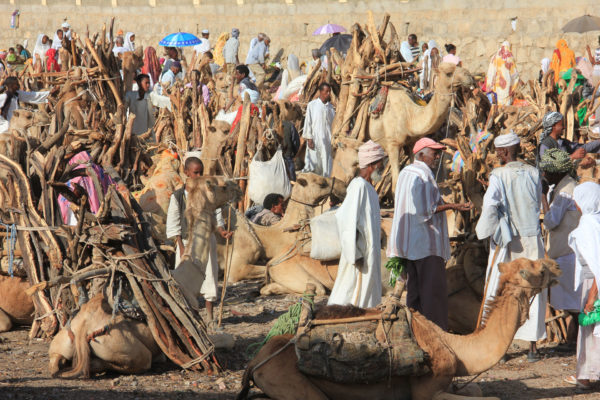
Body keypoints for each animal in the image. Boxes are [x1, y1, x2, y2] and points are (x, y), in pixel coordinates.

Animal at [239, 258, 564, 398]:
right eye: (539, 268)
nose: (558, 266)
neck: (456, 349)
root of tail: (255, 361)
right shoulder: (427, 392)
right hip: (289, 382)